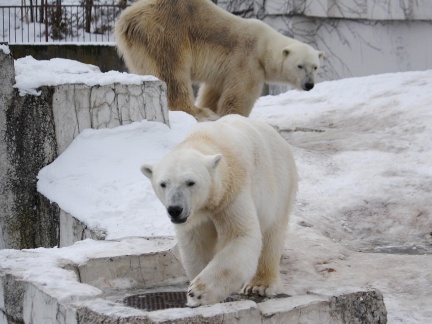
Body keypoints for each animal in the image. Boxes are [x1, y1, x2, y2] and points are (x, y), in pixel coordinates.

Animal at [115, 0, 324, 121]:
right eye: (299, 66)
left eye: (315, 67)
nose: (309, 85)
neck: (264, 46)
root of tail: (129, 18)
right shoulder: (247, 58)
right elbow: (240, 94)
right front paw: (231, 119)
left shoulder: (226, 69)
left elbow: (213, 92)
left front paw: (214, 110)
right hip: (167, 33)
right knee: (174, 73)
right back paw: (198, 112)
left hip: (139, 47)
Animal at [141, 114, 296, 306]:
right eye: (163, 184)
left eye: (190, 182)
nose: (175, 210)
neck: (205, 140)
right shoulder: (196, 218)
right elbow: (196, 245)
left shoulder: (231, 194)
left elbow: (240, 236)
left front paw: (197, 292)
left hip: (279, 184)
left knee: (271, 234)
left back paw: (259, 285)